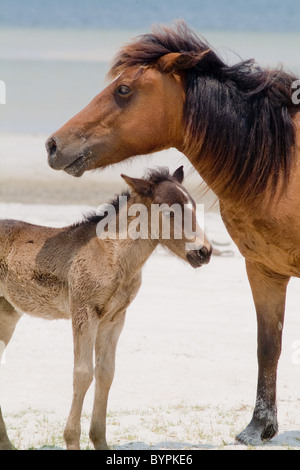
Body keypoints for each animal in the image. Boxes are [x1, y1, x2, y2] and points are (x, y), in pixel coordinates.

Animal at [0, 167, 212, 450]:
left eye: (194, 208)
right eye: (169, 212)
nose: (204, 252)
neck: (113, 256)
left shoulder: (114, 319)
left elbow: (105, 373)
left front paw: (99, 440)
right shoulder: (84, 313)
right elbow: (83, 373)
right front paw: (72, 439)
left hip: (7, 313)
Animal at [45, 21, 300, 444]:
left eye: (123, 90)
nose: (52, 144)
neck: (285, 170)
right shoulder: (263, 269)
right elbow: (269, 345)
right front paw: (258, 427)